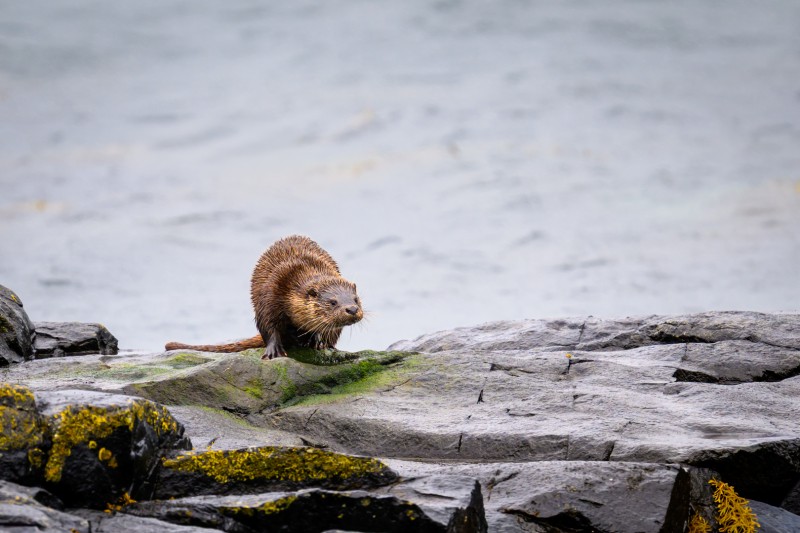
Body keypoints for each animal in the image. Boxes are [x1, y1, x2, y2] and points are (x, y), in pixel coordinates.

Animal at [165, 235, 363, 359]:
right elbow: (268, 324)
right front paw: (274, 351)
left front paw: (317, 341)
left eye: (356, 299)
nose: (352, 309)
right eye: (332, 302)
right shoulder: (271, 293)